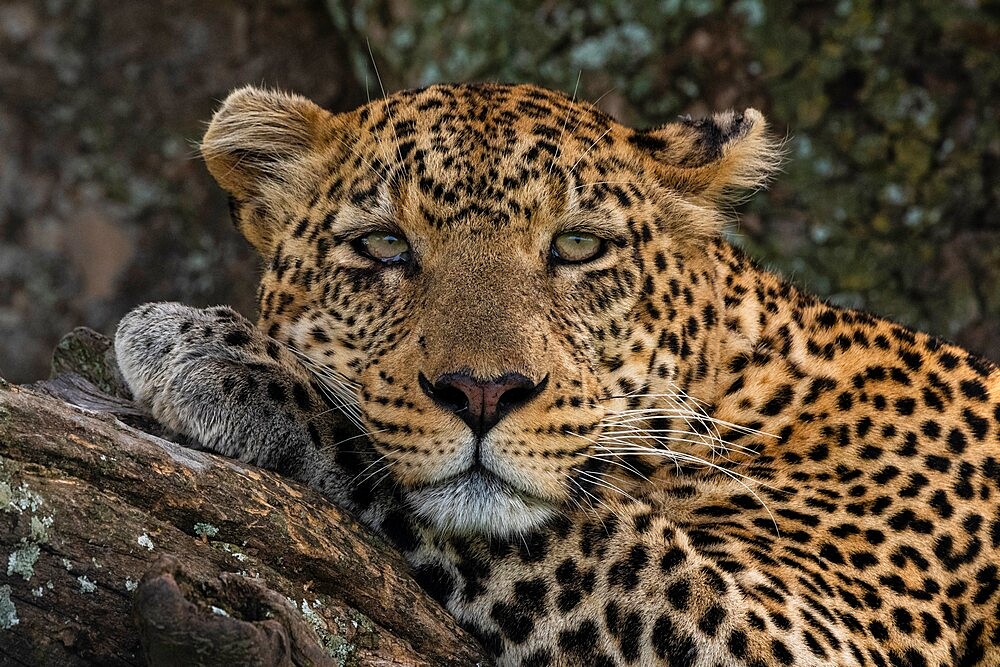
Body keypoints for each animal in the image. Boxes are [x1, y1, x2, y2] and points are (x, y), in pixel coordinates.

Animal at [115, 85, 1000, 667]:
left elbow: (591, 532)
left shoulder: (803, 634)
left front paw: (215, 357)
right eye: (384, 245)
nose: (482, 392)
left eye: (577, 246)